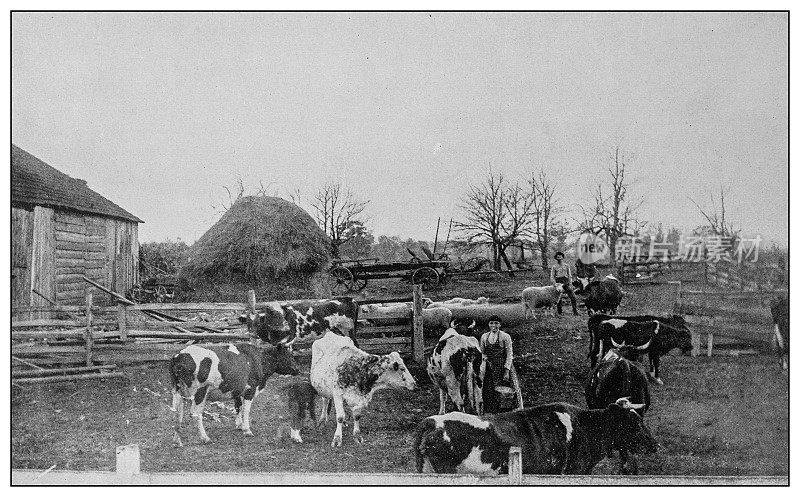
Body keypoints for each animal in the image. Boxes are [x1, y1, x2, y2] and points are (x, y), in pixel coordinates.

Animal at [170, 340, 298, 446]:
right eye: (288, 355)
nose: (298, 369)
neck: (259, 360)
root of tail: (179, 356)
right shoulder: (250, 389)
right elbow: (246, 410)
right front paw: (247, 430)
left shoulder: (237, 390)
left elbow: (238, 407)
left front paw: (239, 425)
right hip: (200, 392)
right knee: (195, 414)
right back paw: (205, 438)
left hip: (177, 391)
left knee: (177, 413)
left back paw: (177, 440)